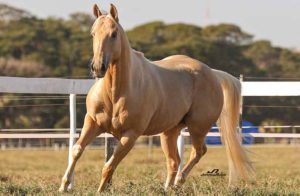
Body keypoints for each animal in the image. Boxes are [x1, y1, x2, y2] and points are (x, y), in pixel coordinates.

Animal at [59, 3, 253, 193]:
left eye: (113, 34)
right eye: (93, 34)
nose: (98, 67)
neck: (116, 93)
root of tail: (212, 72)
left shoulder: (130, 135)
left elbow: (109, 166)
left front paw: (100, 190)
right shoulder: (92, 122)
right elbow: (76, 150)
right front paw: (63, 186)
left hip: (198, 128)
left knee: (197, 152)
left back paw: (178, 182)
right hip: (169, 132)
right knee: (174, 161)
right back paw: (168, 188)